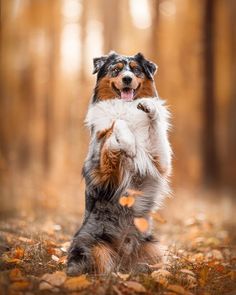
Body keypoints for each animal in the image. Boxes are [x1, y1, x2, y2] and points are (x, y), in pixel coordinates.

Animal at [66, 52, 171, 276]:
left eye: (136, 70)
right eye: (116, 70)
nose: (127, 79)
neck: (126, 106)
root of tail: (126, 262)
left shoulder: (160, 161)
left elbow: (155, 126)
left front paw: (150, 108)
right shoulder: (102, 175)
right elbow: (116, 123)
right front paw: (128, 143)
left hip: (154, 248)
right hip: (93, 247)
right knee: (102, 271)